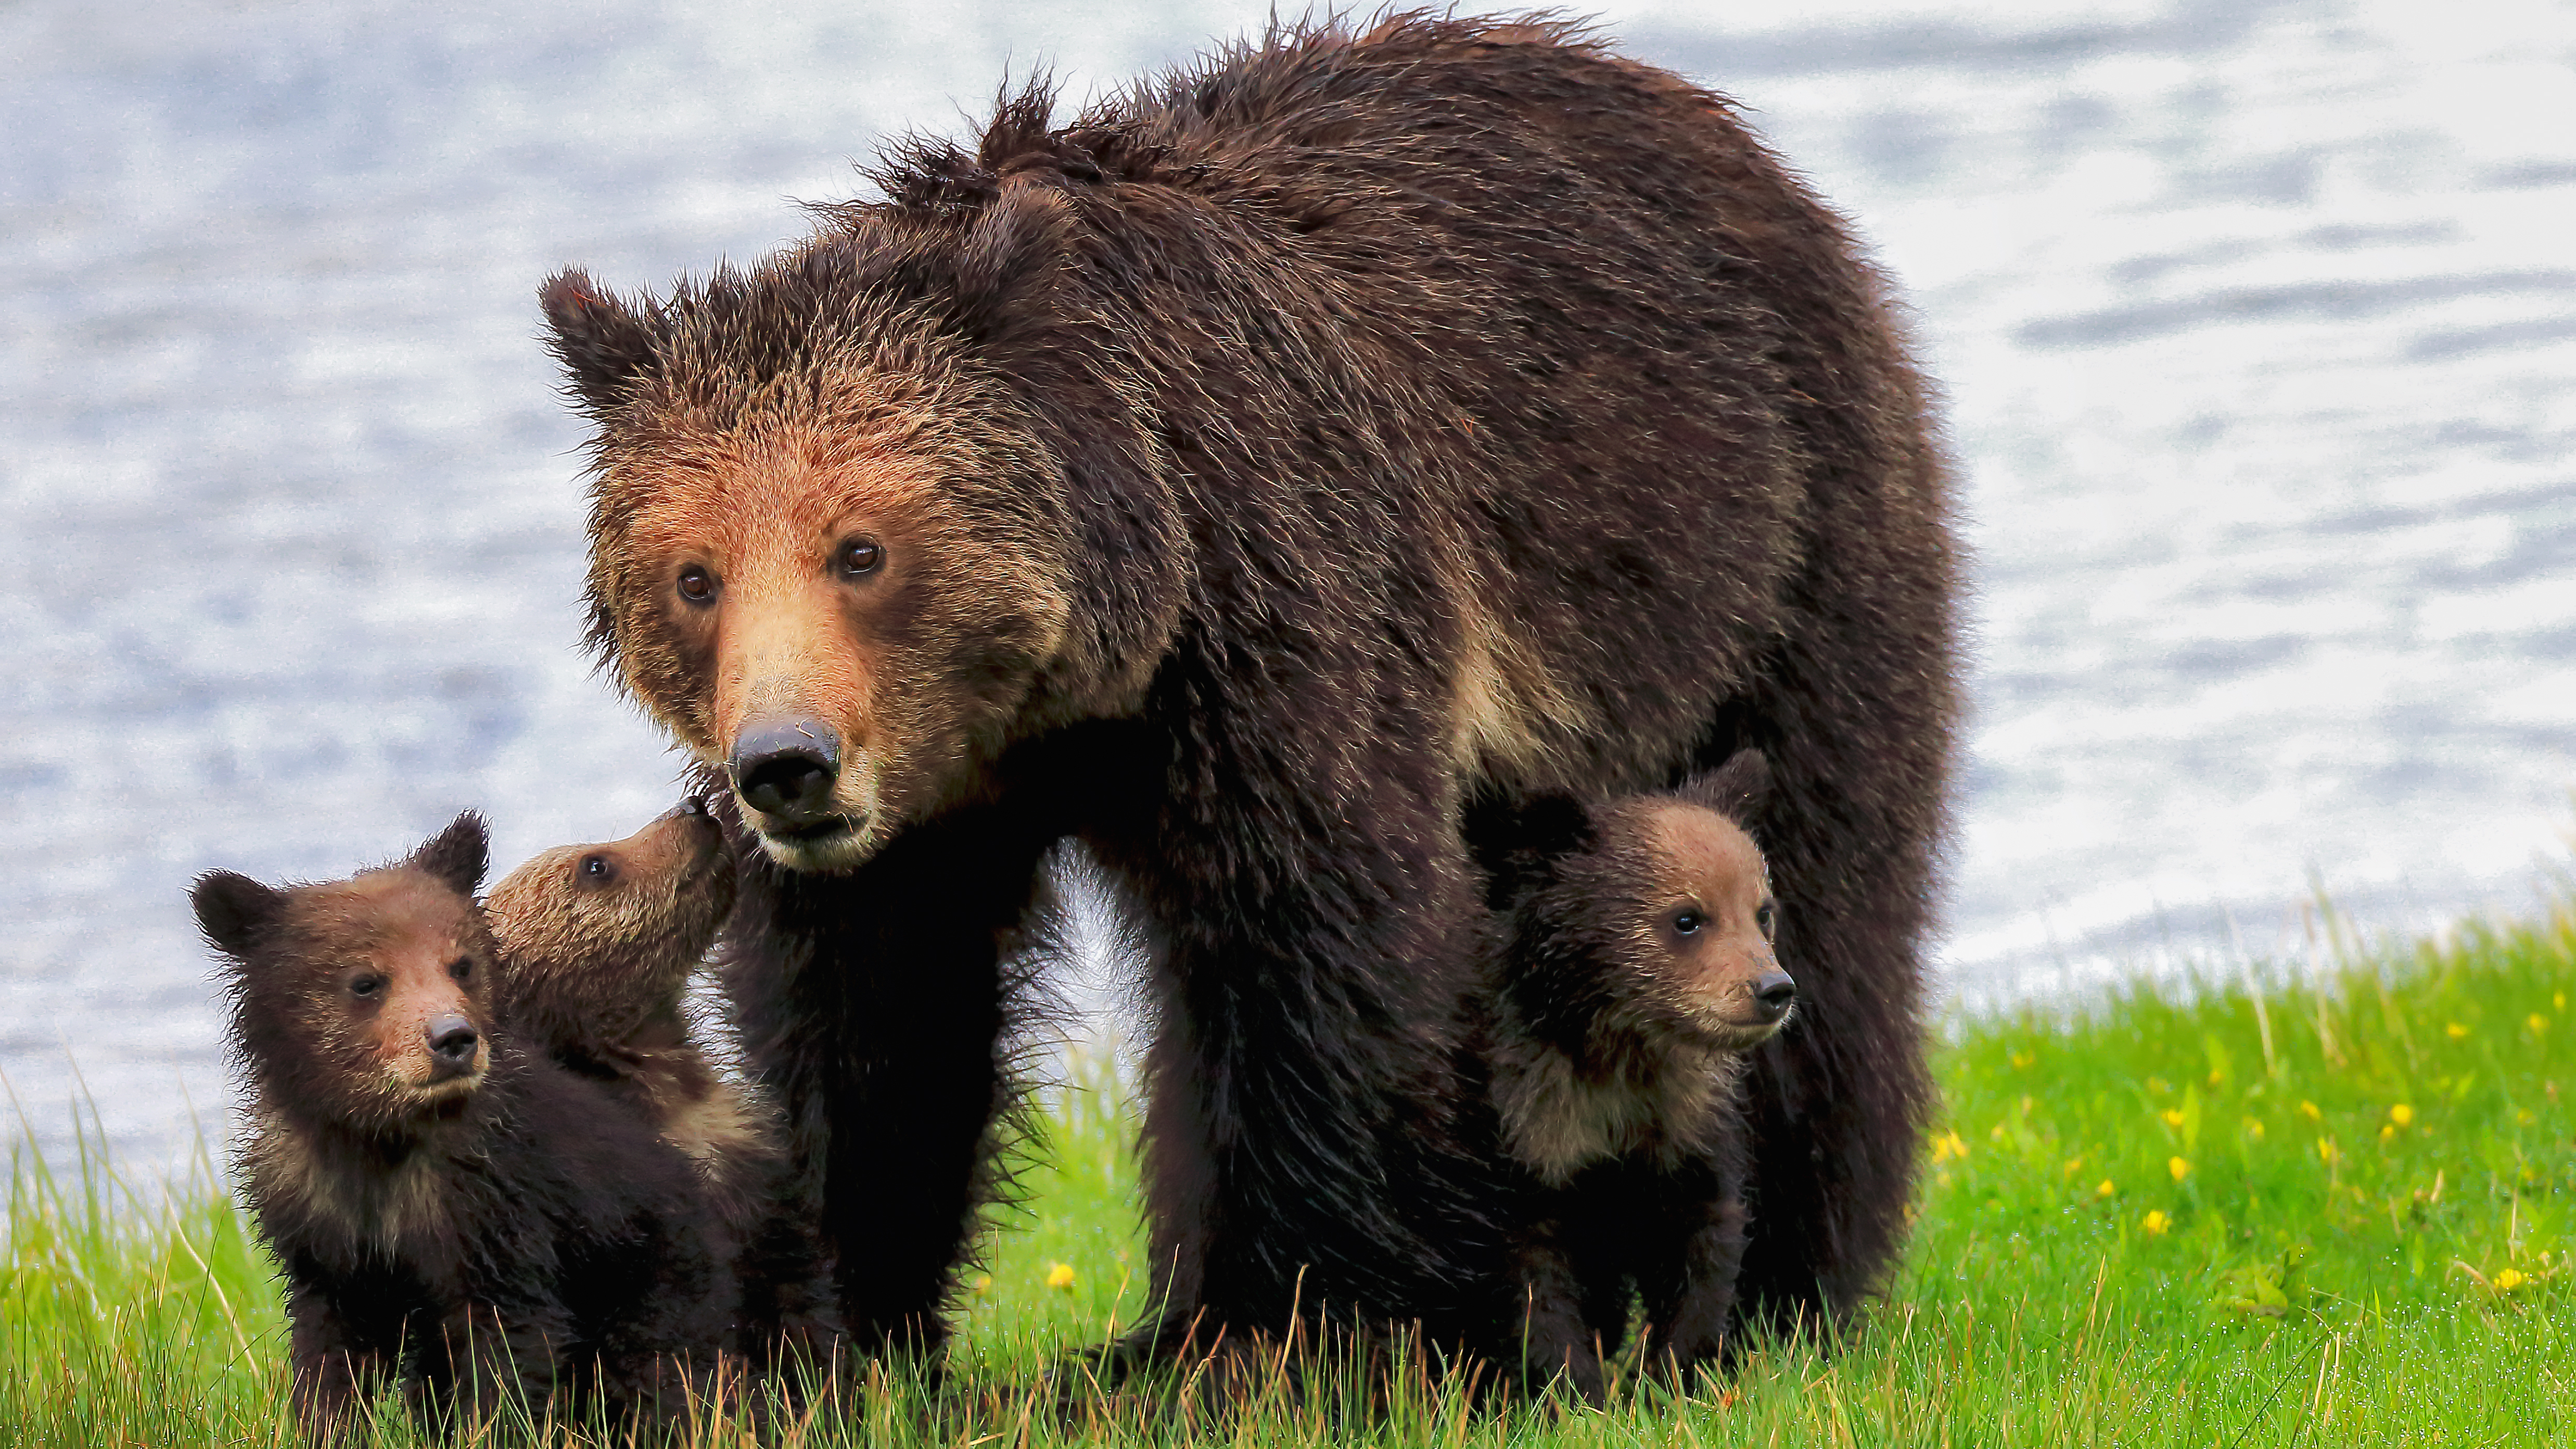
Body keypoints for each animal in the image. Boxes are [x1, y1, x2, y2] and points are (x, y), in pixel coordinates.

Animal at [195, 813, 736, 1437]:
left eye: (461, 964)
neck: (381, 1138)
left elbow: (508, 1357)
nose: (453, 1039)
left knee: (666, 1373)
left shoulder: (500, 1215)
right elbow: (332, 1362)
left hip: (651, 1272)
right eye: (366, 981)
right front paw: (325, 1422)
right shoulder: (324, 1231)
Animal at [1467, 751, 1793, 1402]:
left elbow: (1706, 1248)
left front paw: (1670, 1376)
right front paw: (1576, 1389)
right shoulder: (1535, 1130)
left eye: (1762, 911)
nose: (1773, 989)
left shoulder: (1691, 1131)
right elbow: (1534, 1280)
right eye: (1688, 917)